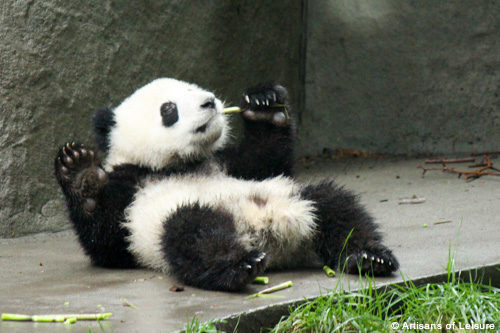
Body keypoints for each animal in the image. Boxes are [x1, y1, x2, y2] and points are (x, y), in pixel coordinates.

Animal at [54, 76, 398, 290]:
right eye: (169, 109)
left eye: (193, 88)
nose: (209, 102)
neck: (177, 164)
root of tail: (267, 231)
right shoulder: (132, 189)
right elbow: (108, 239)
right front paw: (80, 171)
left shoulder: (229, 164)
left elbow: (265, 159)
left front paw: (264, 102)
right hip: (164, 224)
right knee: (193, 232)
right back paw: (241, 265)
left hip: (290, 195)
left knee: (336, 206)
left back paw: (369, 257)